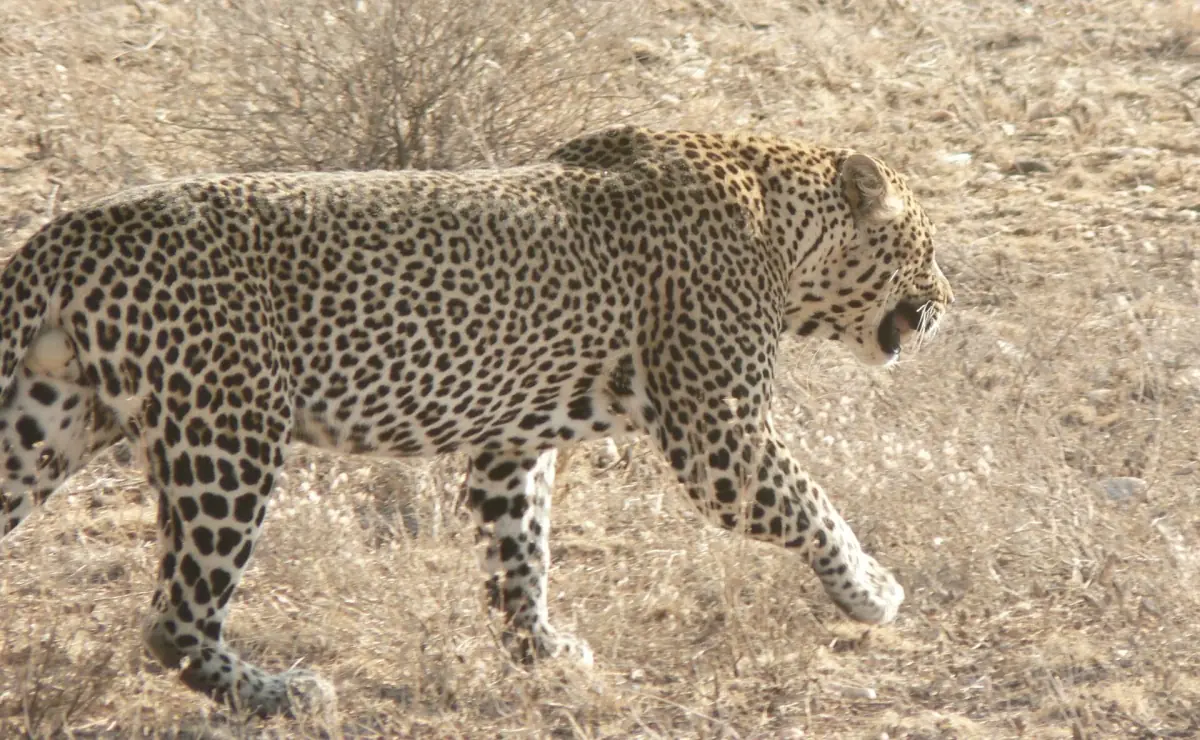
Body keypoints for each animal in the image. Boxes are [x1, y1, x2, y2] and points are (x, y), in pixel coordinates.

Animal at [0, 126, 953, 716]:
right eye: (930, 248)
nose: (948, 300)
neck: (786, 228)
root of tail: (64, 232)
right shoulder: (719, 433)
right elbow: (812, 504)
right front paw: (872, 592)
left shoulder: (512, 443)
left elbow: (519, 551)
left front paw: (541, 650)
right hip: (227, 438)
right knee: (176, 621)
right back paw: (284, 694)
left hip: (44, 422)